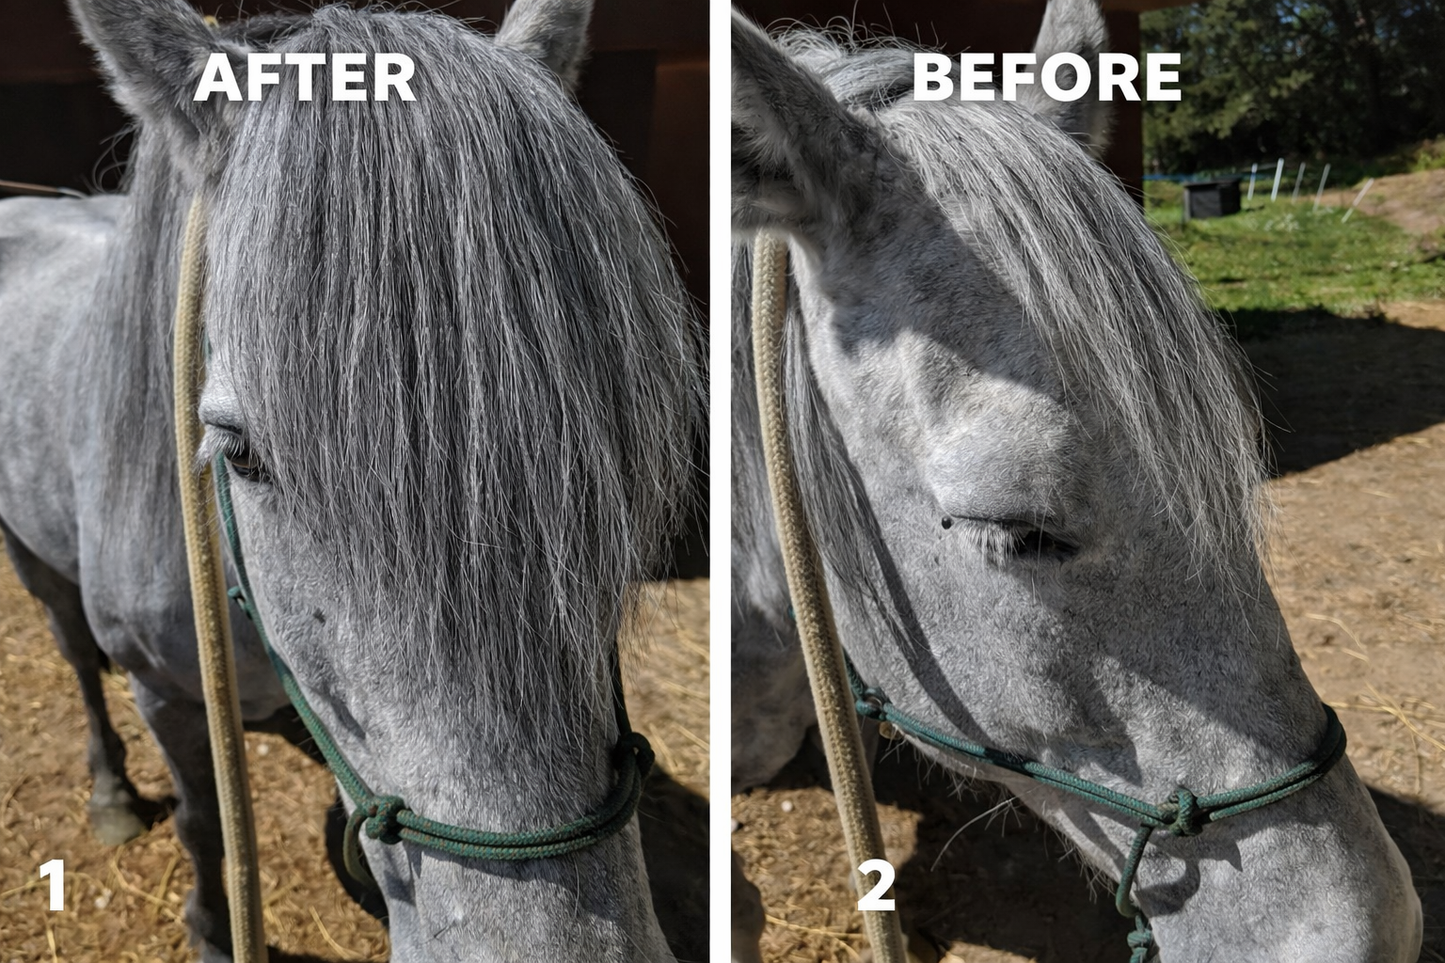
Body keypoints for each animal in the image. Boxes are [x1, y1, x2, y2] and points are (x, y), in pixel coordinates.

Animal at [0, 1, 705, 959]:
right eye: (239, 451)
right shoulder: (166, 692)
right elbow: (202, 823)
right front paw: (211, 927)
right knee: (72, 650)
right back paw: (110, 790)